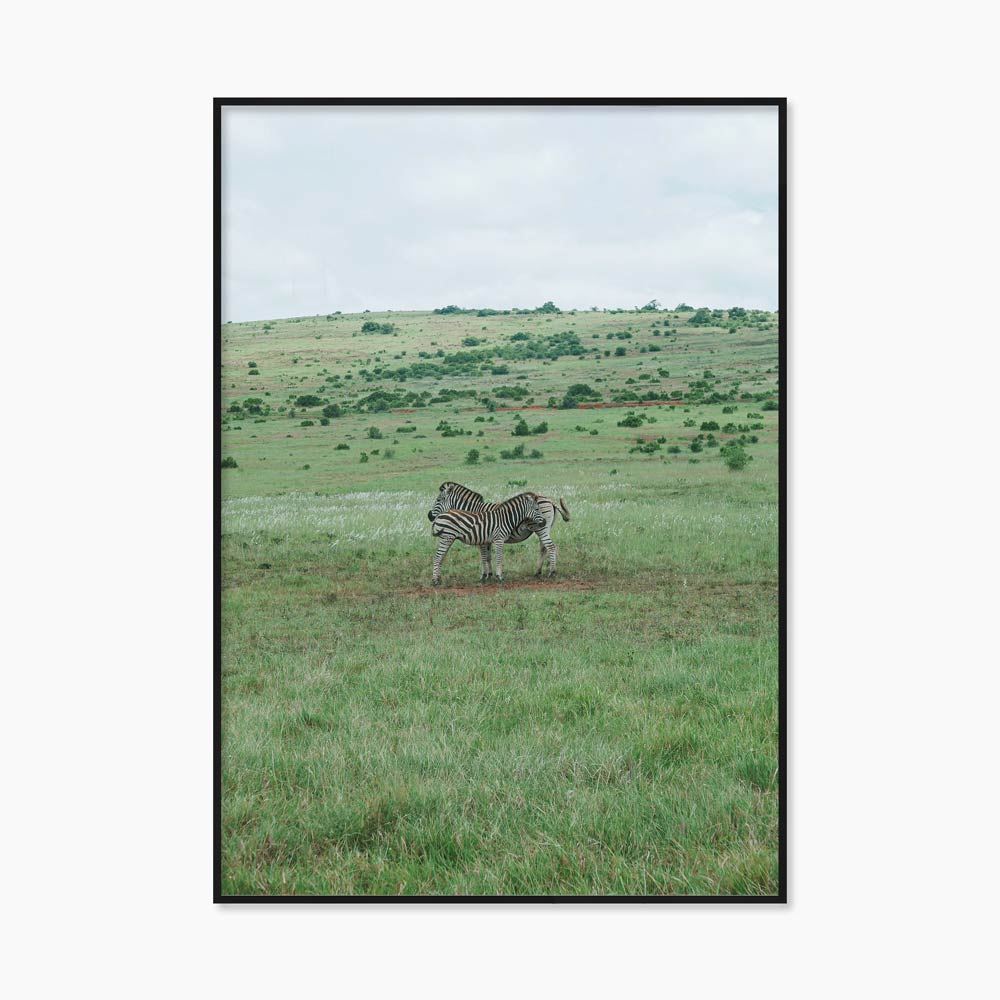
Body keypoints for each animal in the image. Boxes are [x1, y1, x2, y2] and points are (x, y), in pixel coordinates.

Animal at [427, 482, 570, 580]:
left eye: (438, 500)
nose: (429, 516)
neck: (473, 510)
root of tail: (549, 499)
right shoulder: (486, 537)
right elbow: (488, 556)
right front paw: (490, 574)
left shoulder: (482, 537)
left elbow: (484, 556)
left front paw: (484, 575)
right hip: (543, 528)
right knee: (543, 548)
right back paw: (538, 572)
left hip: (541, 528)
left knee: (550, 547)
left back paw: (551, 572)